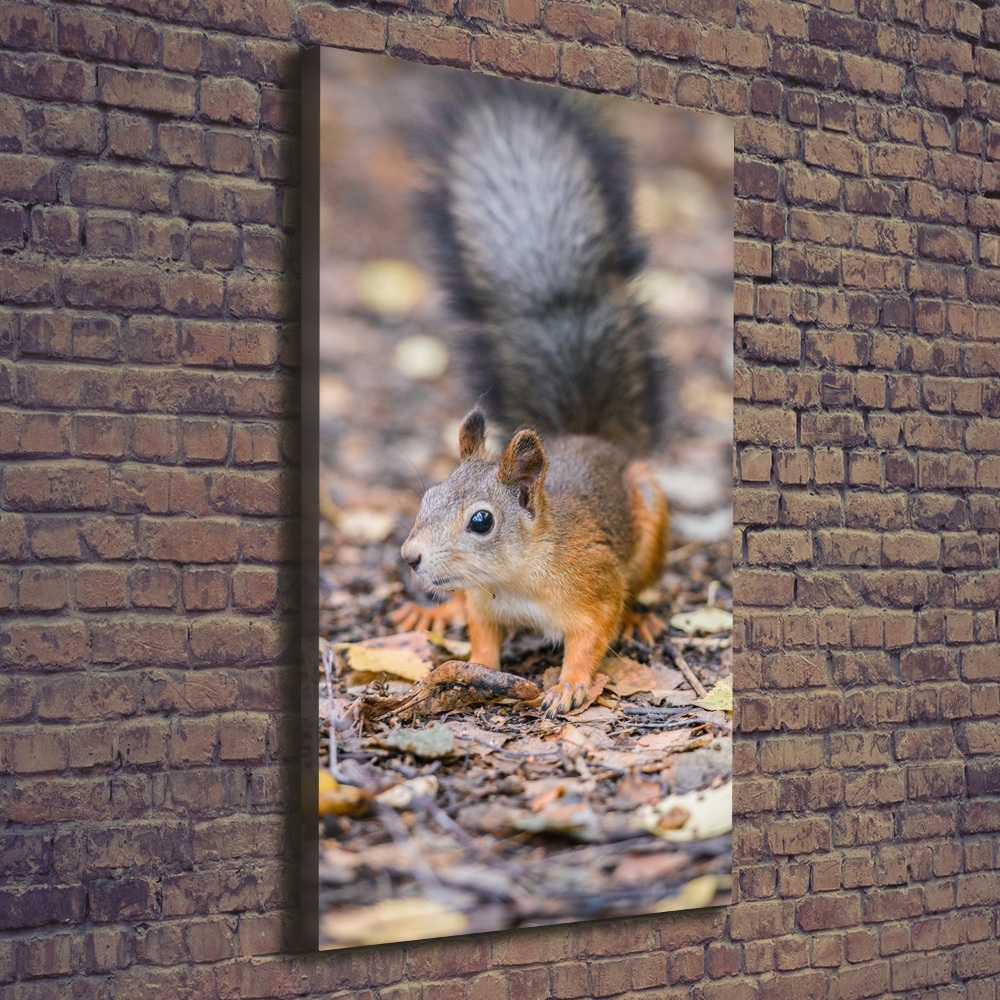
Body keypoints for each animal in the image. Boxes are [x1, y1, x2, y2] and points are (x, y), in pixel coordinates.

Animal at [394, 80, 668, 720]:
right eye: (427, 495)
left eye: (481, 521)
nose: (411, 558)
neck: (514, 579)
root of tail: (591, 438)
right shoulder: (484, 604)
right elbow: (481, 637)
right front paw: (474, 666)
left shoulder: (593, 583)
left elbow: (593, 633)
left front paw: (570, 683)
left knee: (637, 589)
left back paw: (641, 617)